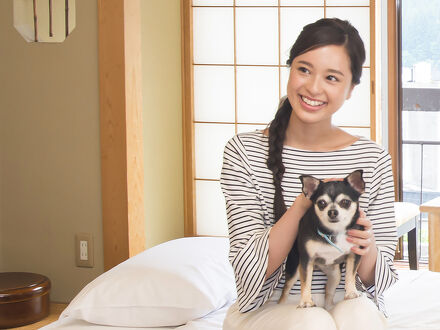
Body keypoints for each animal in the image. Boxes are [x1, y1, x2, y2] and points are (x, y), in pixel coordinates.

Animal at [280, 170, 366, 310]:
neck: (334, 232)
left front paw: (351, 292)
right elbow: (306, 283)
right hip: (295, 270)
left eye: (345, 202)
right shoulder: (306, 261)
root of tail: (319, 267)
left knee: (328, 291)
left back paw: (329, 307)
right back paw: (281, 304)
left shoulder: (354, 255)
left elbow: (350, 275)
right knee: (285, 290)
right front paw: (305, 301)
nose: (332, 212)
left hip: (335, 274)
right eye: (321, 203)